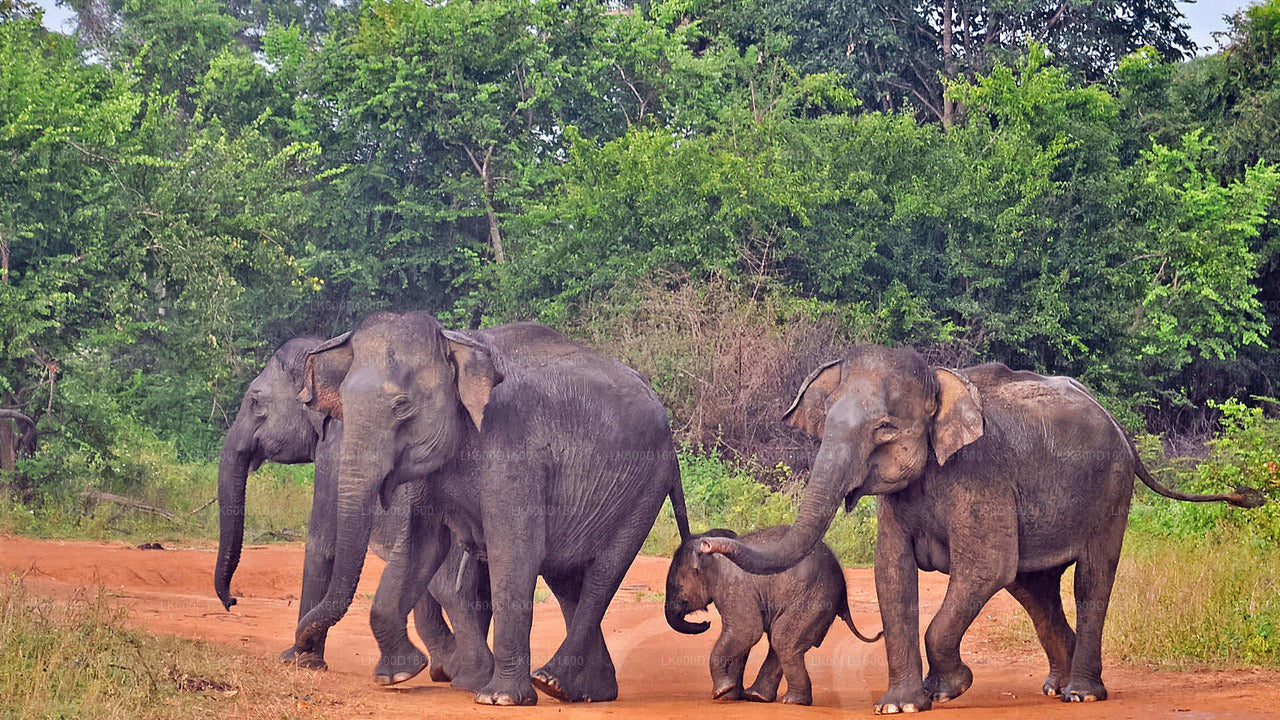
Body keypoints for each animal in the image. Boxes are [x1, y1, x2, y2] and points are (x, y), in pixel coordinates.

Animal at [212, 333, 491, 686]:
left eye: (255, 403)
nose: (232, 601)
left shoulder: (334, 450)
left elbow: (321, 544)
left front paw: (298, 660)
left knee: (451, 590)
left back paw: (463, 676)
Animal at [290, 312, 691, 702]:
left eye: (401, 405)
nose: (301, 652)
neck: (454, 342)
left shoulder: (513, 446)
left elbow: (513, 551)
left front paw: (499, 698)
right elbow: (422, 548)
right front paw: (397, 675)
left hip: (644, 487)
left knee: (602, 574)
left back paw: (551, 681)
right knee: (566, 577)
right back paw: (581, 692)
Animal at [660, 525, 880, 702]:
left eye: (676, 587)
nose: (705, 623)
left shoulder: (733, 585)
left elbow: (746, 630)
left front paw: (720, 692)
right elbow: (742, 638)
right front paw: (730, 695)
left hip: (813, 598)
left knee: (783, 640)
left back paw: (792, 701)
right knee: (780, 641)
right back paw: (758, 696)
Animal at [701, 345, 1259, 712]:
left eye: (885, 430)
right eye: (825, 423)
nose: (707, 543)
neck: (939, 379)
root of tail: (1116, 421)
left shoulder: (980, 474)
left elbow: (985, 568)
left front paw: (948, 689)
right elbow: (892, 576)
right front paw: (900, 705)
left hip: (1111, 491)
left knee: (1089, 579)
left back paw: (1081, 694)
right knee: (1034, 590)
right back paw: (1054, 687)